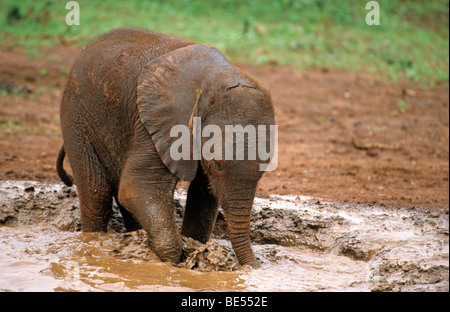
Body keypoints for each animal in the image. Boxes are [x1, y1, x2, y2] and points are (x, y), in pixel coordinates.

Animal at [58, 26, 276, 266]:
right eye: (217, 164)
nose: (253, 268)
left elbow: (203, 195)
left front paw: (194, 252)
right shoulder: (156, 123)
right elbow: (137, 186)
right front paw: (171, 262)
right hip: (76, 118)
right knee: (96, 192)